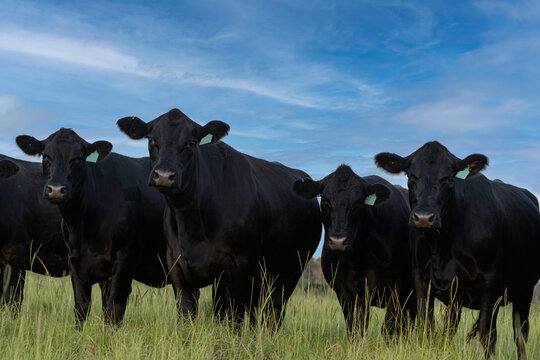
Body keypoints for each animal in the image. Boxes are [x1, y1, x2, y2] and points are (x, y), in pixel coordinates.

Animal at [15, 130, 170, 330]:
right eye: (46, 156)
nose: (56, 189)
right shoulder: (75, 261)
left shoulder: (126, 258)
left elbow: (114, 309)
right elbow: (82, 307)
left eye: (78, 158)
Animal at [117, 107, 320, 326]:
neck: (192, 226)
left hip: (290, 272)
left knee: (272, 314)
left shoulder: (240, 266)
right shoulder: (177, 266)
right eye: (151, 140)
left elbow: (233, 319)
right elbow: (188, 315)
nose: (163, 175)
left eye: (191, 143)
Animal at [294, 165, 416, 336]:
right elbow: (356, 328)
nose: (338, 241)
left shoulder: (400, 286)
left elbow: (390, 328)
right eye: (324, 200)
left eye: (358, 203)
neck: (361, 256)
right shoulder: (345, 291)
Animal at [376, 142, 540, 358]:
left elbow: (487, 335)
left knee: (520, 334)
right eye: (411, 176)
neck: (442, 247)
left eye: (449, 178)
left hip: (524, 290)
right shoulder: (421, 276)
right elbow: (427, 326)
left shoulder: (490, 280)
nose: (424, 218)